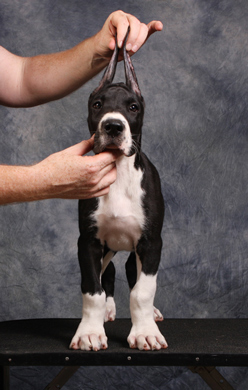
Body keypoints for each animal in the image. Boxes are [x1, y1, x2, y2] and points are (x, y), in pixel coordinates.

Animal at [70, 29, 168, 352]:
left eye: (133, 107)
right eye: (97, 104)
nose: (113, 126)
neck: (118, 173)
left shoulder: (151, 243)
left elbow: (142, 291)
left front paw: (145, 332)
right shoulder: (88, 242)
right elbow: (93, 290)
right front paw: (89, 332)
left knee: (130, 275)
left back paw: (152, 313)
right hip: (106, 247)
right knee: (108, 274)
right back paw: (109, 310)